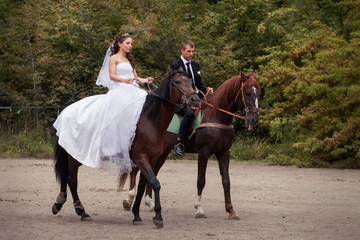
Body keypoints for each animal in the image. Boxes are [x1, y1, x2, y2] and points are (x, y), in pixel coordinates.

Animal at [52, 69, 201, 227]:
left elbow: (142, 186)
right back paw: (81, 211)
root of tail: (67, 110)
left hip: (76, 154)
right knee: (71, 179)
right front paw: (158, 216)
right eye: (178, 82)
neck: (150, 121)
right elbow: (155, 183)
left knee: (66, 176)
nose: (195, 99)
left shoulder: (150, 160)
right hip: (75, 155)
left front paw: (136, 214)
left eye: (191, 82)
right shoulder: (141, 158)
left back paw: (60, 203)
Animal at [122, 71, 260, 219]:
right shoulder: (204, 153)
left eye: (258, 93)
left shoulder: (223, 153)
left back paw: (149, 202)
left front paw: (231, 210)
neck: (216, 115)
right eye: (247, 93)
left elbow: (226, 181)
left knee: (152, 171)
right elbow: (201, 180)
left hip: (162, 152)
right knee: (135, 170)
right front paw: (199, 208)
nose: (254, 119)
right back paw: (129, 200)